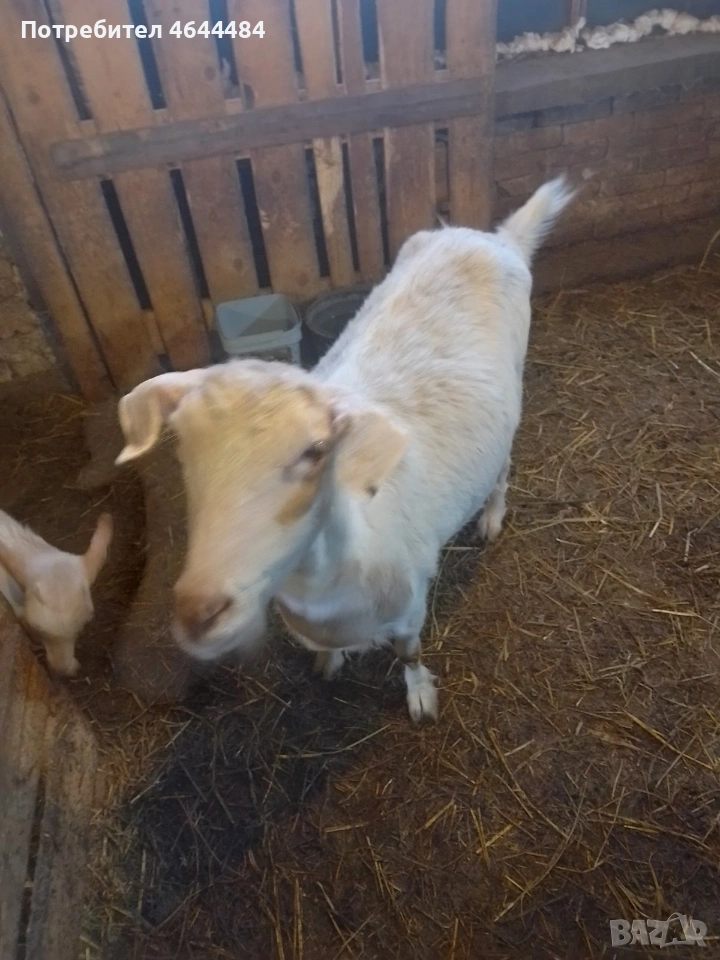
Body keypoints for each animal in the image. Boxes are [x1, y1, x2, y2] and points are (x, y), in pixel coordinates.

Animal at [114, 176, 575, 722]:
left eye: (315, 451)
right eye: (182, 449)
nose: (200, 615)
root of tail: (493, 237)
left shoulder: (410, 602)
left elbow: (409, 652)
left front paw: (420, 695)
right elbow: (327, 649)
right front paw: (329, 664)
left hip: (514, 394)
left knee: (502, 466)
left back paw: (491, 518)